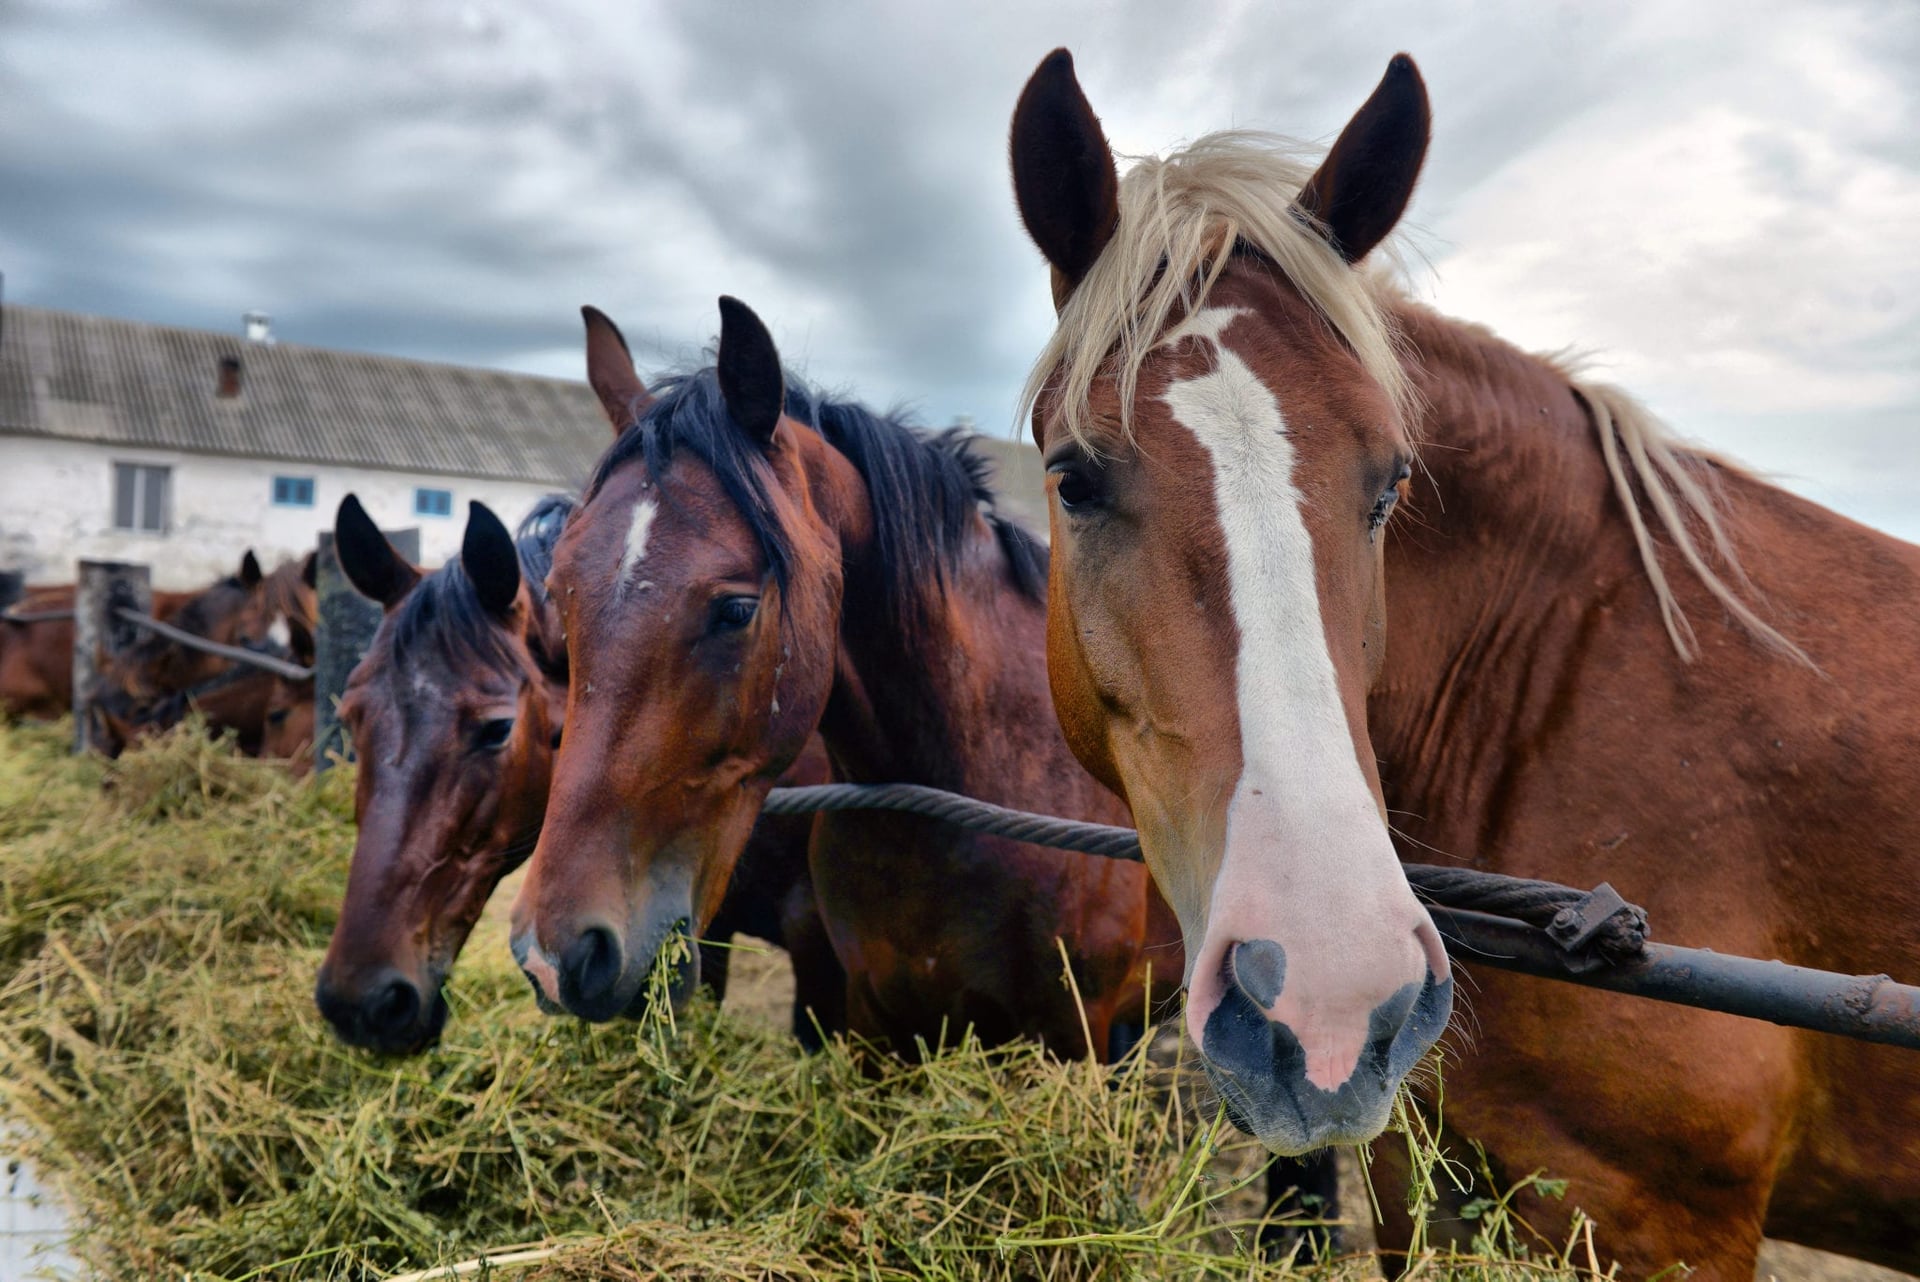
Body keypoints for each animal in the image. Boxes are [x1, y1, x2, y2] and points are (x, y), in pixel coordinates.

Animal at [1008, 49, 1920, 1278]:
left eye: (1391, 482)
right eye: (1072, 476)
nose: (1328, 1000)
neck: (1551, 678)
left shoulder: (1661, 1221)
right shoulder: (1421, 1168)